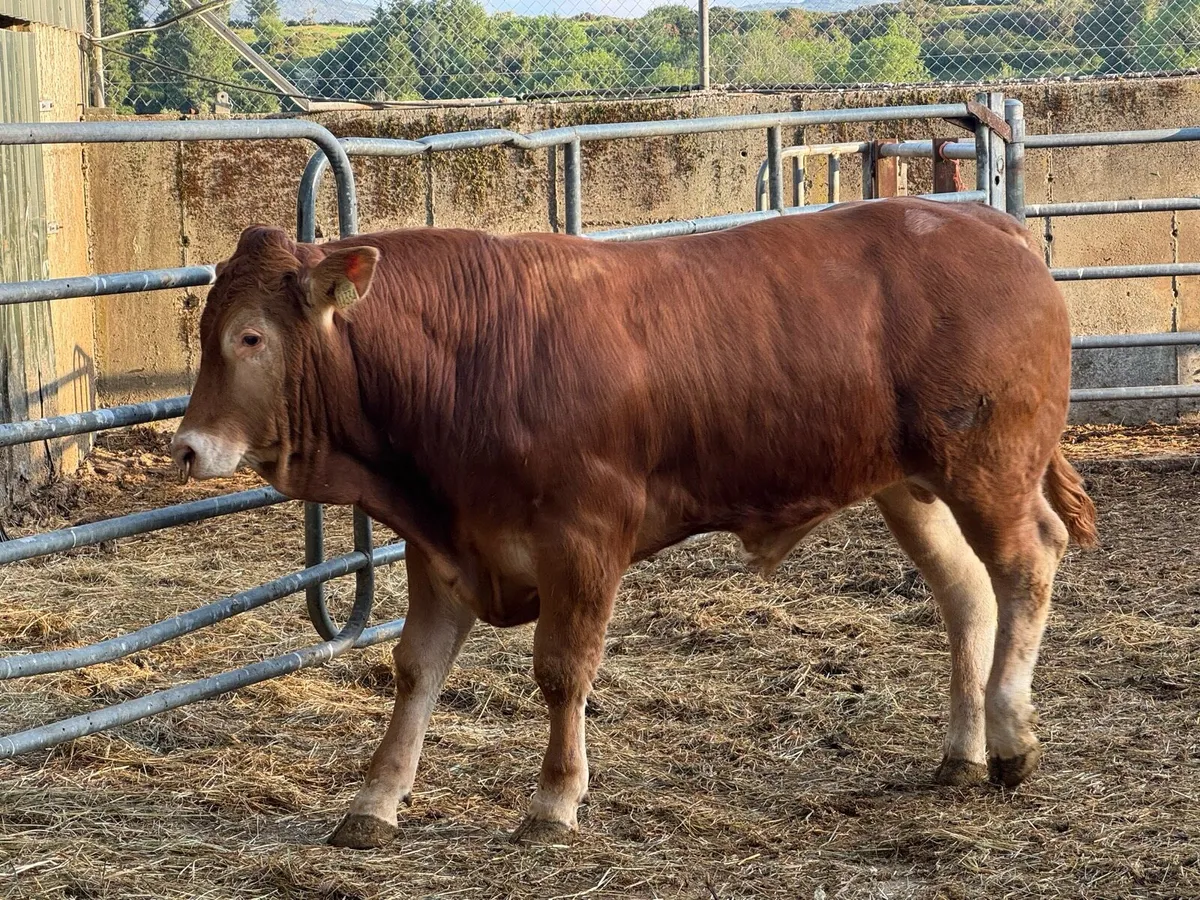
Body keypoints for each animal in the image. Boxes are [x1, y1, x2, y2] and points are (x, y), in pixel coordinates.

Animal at [170, 197, 1097, 849]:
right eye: (209, 329)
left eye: (250, 337)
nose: (186, 447)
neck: (473, 354)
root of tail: (992, 226)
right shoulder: (445, 546)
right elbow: (415, 670)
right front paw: (376, 799)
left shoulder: (584, 541)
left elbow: (561, 672)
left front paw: (553, 800)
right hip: (910, 485)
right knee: (968, 594)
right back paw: (962, 751)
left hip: (990, 465)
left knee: (1027, 565)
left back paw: (1010, 734)